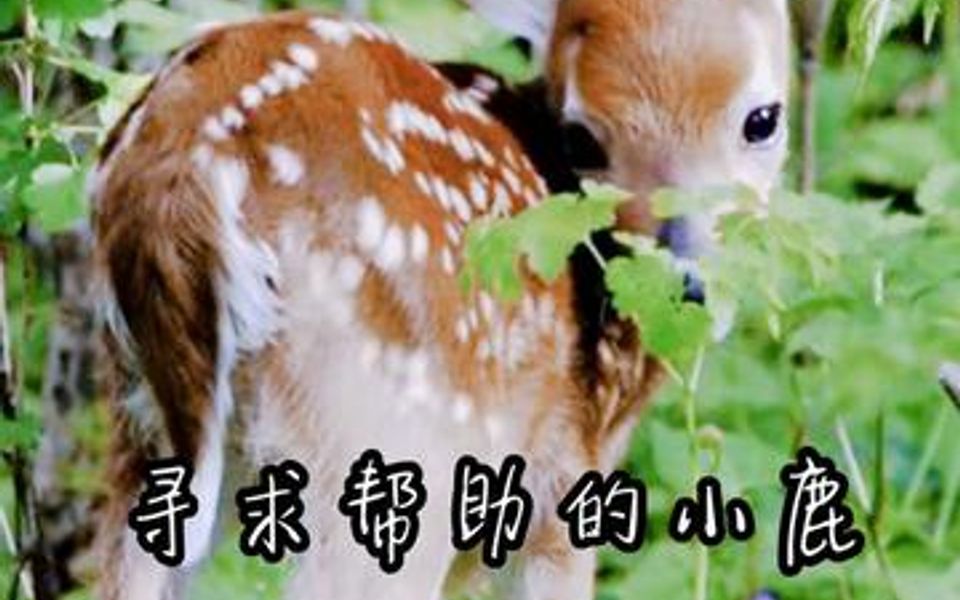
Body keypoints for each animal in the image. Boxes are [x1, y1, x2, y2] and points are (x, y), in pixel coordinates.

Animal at [89, 1, 791, 599]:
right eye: (581, 139)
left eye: (763, 119)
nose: (686, 282)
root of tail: (184, 164)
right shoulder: (559, 483)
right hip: (390, 422)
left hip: (145, 431)